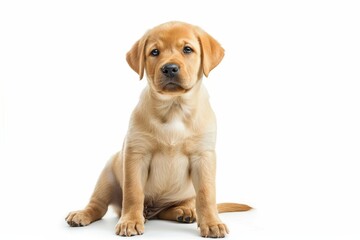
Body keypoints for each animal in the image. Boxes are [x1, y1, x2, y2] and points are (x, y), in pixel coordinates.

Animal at [66, 21, 250, 238]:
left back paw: (185, 212)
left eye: (187, 49)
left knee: (179, 207)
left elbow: (206, 194)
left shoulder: (203, 156)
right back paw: (83, 214)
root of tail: (152, 211)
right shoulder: (136, 154)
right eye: (155, 52)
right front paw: (130, 221)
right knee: (98, 205)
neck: (174, 107)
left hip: (185, 193)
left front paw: (212, 223)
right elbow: (133, 192)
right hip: (108, 174)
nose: (170, 68)